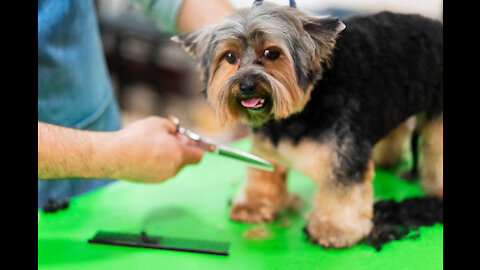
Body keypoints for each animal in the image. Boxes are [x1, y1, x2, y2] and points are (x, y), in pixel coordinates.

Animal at [172, 1, 442, 248]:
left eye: (271, 53)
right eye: (230, 56)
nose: (247, 85)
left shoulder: (344, 154)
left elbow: (341, 190)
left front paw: (334, 228)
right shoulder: (266, 144)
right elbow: (261, 173)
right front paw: (253, 205)